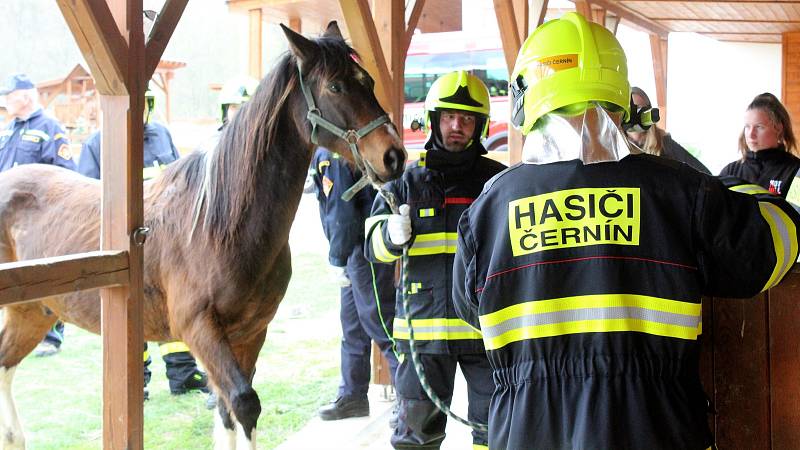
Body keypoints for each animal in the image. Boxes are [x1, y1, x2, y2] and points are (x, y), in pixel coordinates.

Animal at [0, 22, 404, 448]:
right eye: (336, 87)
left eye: (368, 80)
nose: (393, 156)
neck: (220, 226)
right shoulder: (199, 329)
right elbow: (244, 402)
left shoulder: (251, 331)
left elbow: (228, 408)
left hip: (34, 311)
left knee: (6, 363)